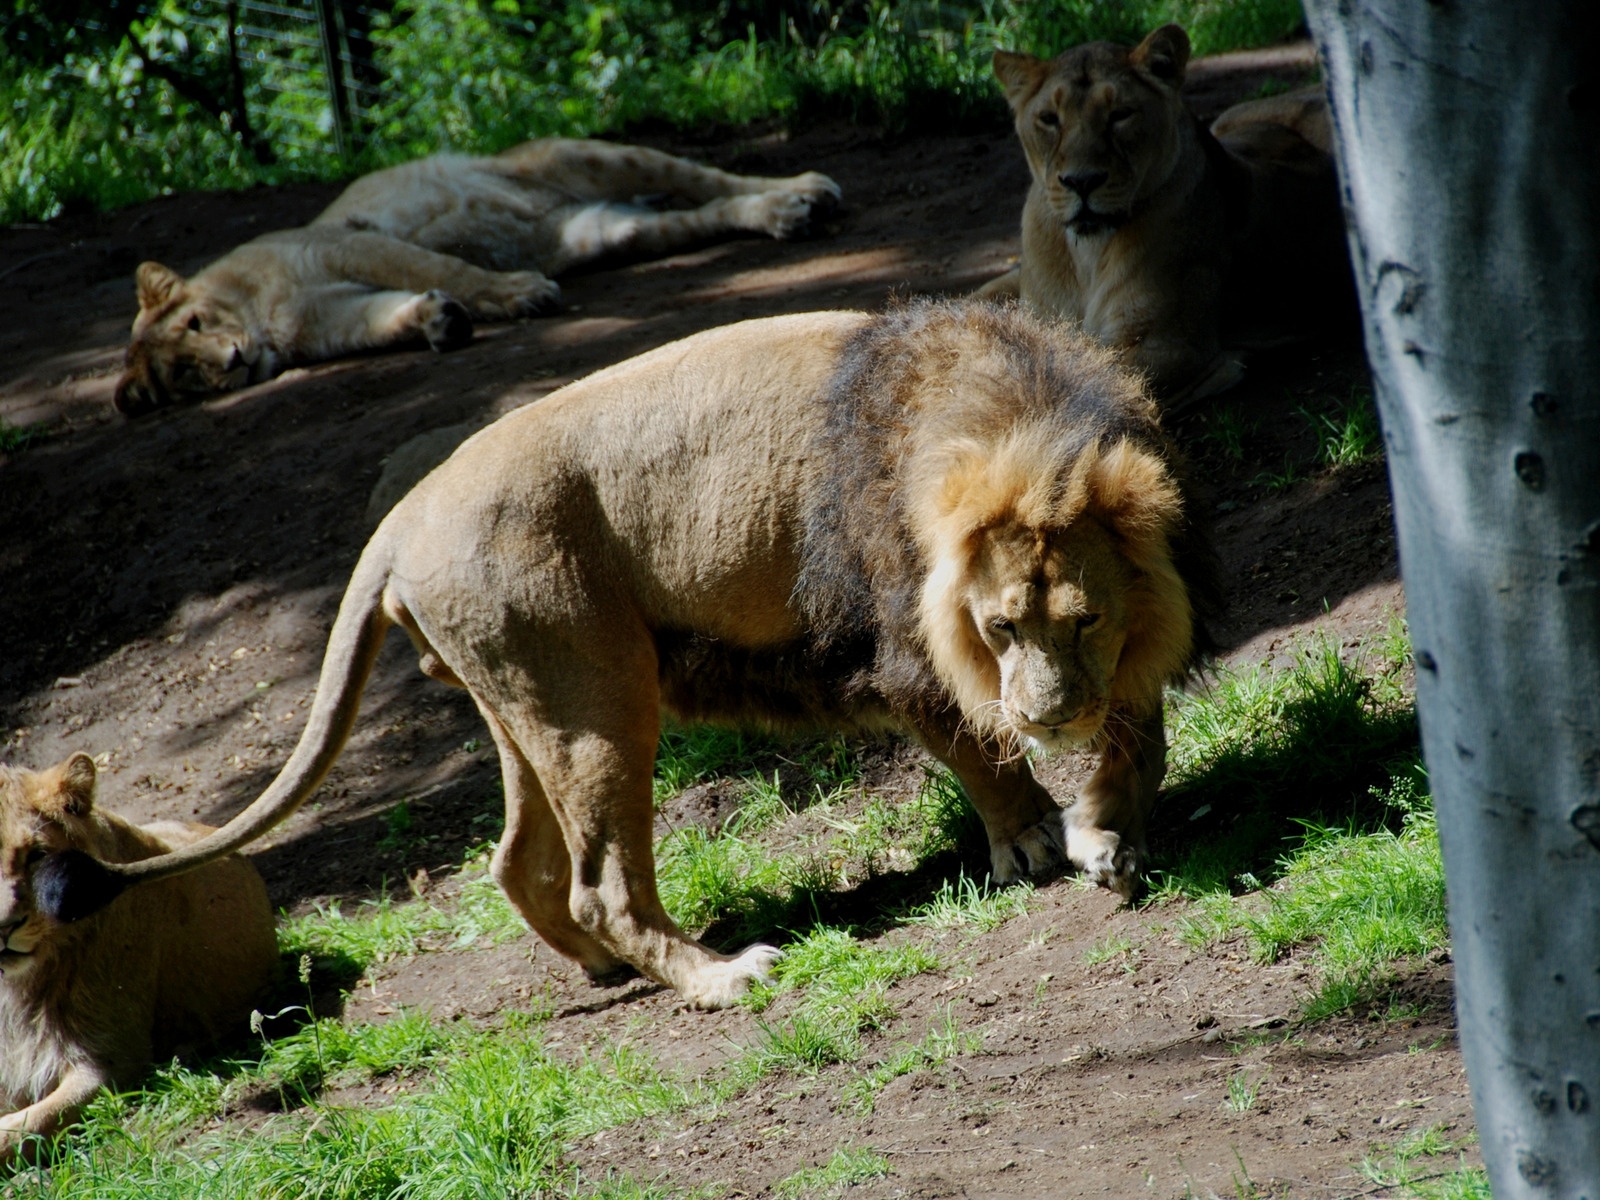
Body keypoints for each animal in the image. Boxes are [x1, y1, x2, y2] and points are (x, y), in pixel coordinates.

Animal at [37, 302, 1209, 1017]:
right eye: (1000, 628)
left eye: (1083, 621)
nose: (1047, 716)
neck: (1014, 417)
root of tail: (402, 516)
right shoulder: (898, 653)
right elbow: (976, 749)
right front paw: (1036, 841)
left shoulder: (1126, 642)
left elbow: (1136, 731)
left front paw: (1112, 827)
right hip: (594, 696)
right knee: (603, 883)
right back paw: (723, 977)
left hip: (531, 700)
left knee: (519, 864)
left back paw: (605, 969)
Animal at [114, 138, 844, 412]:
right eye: (184, 374)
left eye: (196, 323)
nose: (233, 362)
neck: (262, 320)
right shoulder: (326, 318)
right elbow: (384, 318)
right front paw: (438, 321)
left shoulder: (349, 247)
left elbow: (447, 267)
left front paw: (515, 293)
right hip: (608, 229)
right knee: (702, 212)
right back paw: (786, 215)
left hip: (589, 157)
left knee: (709, 177)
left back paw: (804, 191)